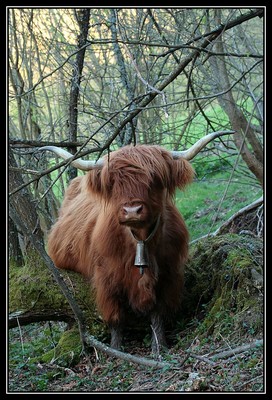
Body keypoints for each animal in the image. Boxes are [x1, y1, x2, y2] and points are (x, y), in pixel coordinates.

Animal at [40, 130, 232, 350]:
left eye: (154, 178)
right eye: (113, 182)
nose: (132, 210)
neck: (140, 240)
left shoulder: (169, 275)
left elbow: (158, 314)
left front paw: (159, 346)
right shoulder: (106, 279)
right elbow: (116, 318)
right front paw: (115, 349)